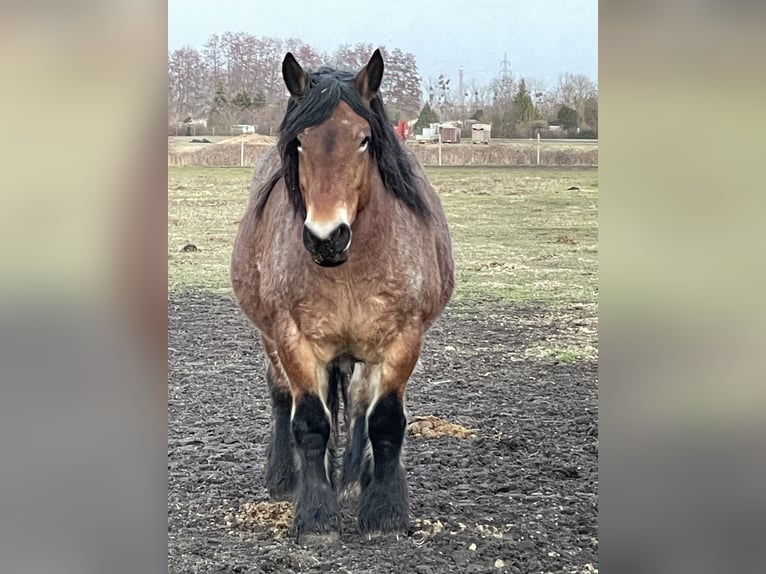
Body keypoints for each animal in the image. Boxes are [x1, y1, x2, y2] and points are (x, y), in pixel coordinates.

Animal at [231, 50, 452, 544]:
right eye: (299, 142)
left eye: (364, 140)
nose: (326, 237)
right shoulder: (294, 340)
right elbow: (311, 424)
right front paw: (316, 515)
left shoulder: (402, 341)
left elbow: (384, 421)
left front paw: (385, 509)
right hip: (272, 340)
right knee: (282, 397)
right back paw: (284, 477)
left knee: (359, 408)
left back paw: (355, 480)